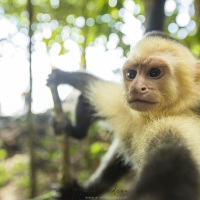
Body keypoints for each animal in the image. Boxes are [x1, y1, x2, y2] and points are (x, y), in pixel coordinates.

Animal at [47, 31, 200, 200]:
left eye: (154, 72)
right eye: (131, 74)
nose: (135, 88)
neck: (148, 117)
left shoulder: (175, 126)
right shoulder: (122, 105)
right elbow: (89, 88)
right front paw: (62, 76)